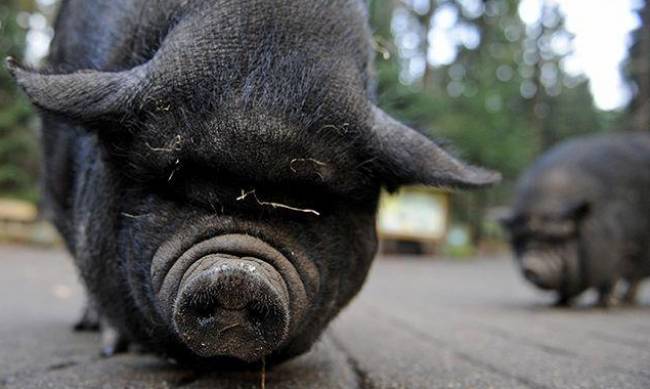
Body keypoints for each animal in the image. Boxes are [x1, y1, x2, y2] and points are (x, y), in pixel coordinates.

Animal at [502, 133, 648, 306]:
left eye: (557, 238)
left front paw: (607, 304)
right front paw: (559, 303)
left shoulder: (622, 250)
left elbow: (613, 278)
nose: (531, 266)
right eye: (523, 238)